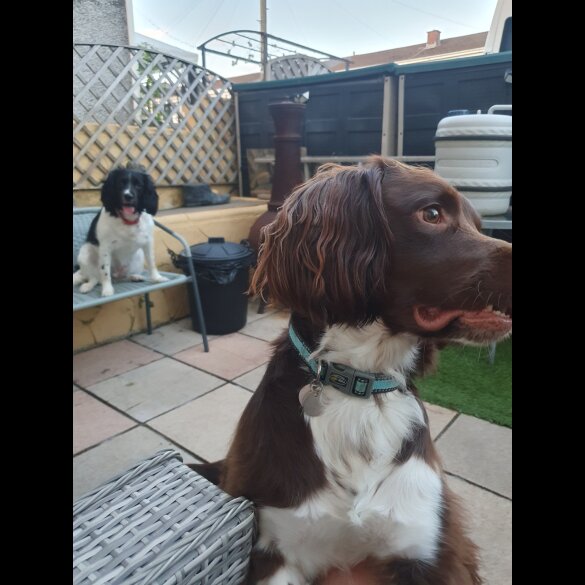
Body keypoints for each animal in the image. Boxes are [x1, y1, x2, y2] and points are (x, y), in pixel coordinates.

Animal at [73, 168, 167, 296]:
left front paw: (157, 278)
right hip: (85, 254)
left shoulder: (148, 242)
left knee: (125, 276)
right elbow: (105, 272)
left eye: (138, 185)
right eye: (120, 184)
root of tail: (117, 276)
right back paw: (88, 286)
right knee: (95, 278)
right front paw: (107, 290)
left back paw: (135, 276)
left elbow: (152, 262)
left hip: (138, 256)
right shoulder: (105, 248)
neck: (128, 220)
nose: (128, 196)